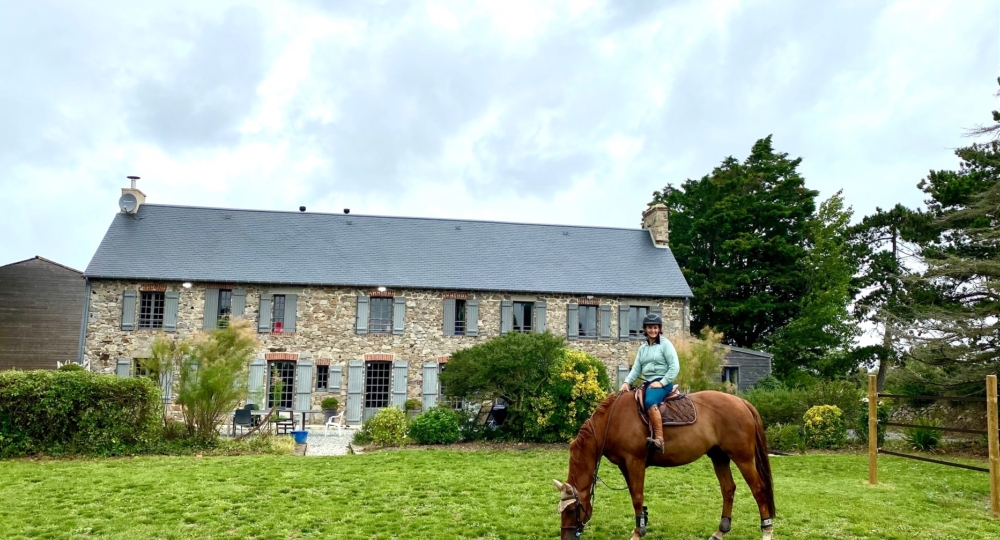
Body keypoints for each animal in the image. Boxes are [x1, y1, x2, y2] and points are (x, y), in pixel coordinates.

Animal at [556, 390, 772, 540]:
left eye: (571, 510)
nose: (566, 537)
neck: (611, 421)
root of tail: (741, 402)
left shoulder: (635, 461)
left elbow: (637, 496)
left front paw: (638, 532)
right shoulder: (625, 465)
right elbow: (634, 494)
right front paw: (642, 522)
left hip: (743, 459)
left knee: (758, 489)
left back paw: (767, 530)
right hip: (719, 457)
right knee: (728, 489)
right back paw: (720, 531)